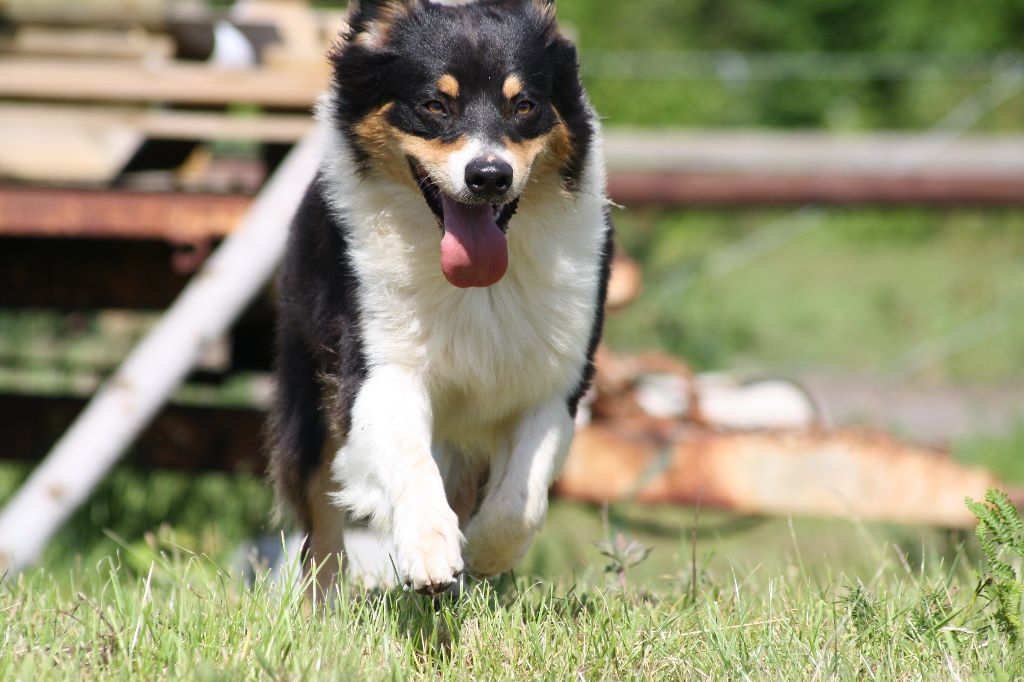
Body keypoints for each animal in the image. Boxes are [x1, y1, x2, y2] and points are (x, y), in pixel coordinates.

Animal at [268, 0, 610, 593]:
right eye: (434, 104)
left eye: (524, 105)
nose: (490, 176)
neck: (477, 288)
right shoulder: (379, 369)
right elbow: (409, 460)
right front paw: (429, 549)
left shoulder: (554, 382)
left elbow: (522, 500)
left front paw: (485, 553)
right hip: (308, 399)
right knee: (321, 526)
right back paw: (326, 602)